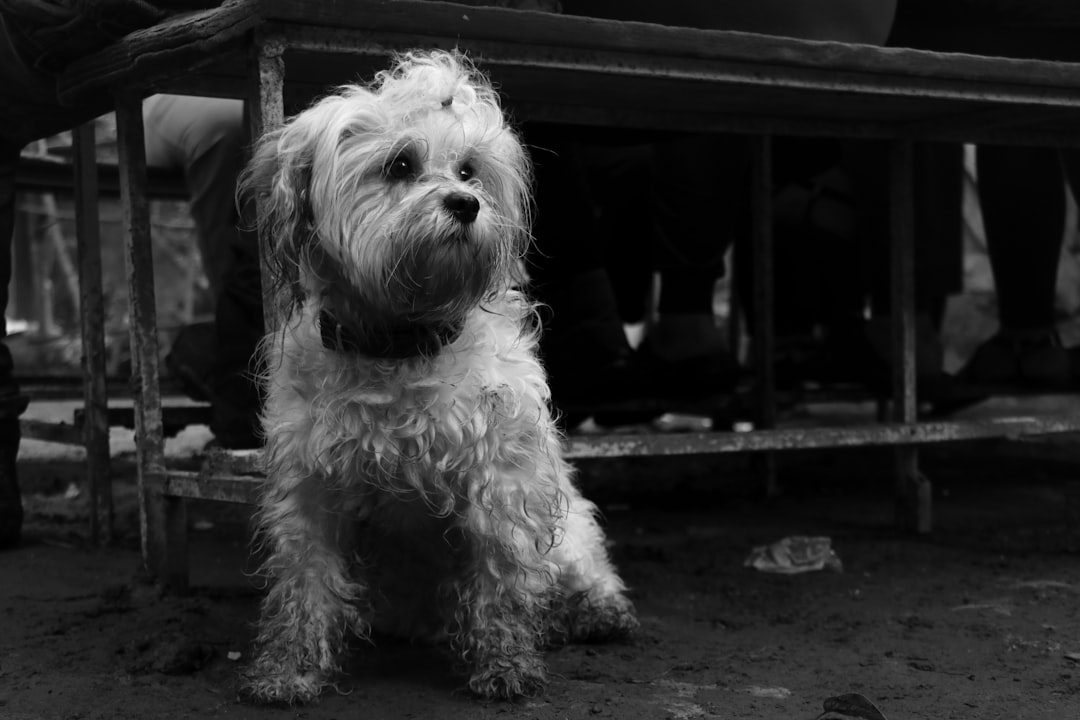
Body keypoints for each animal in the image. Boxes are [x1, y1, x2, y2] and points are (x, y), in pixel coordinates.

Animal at [238, 50, 630, 703]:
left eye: (468, 170)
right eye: (401, 163)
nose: (466, 204)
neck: (398, 345)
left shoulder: (502, 481)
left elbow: (501, 580)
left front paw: (505, 665)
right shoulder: (309, 488)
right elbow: (304, 583)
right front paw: (288, 672)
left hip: (570, 531)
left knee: (582, 571)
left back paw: (592, 613)